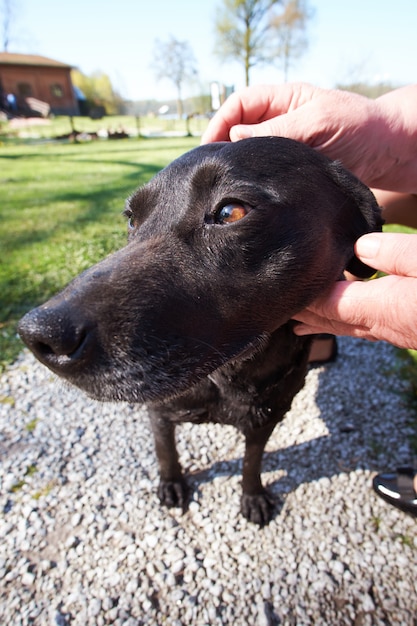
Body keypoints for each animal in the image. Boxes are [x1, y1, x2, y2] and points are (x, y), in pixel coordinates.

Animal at [19, 139, 384, 524]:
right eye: (132, 219)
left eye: (230, 213)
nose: (40, 335)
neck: (227, 375)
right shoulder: (160, 413)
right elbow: (166, 452)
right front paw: (172, 483)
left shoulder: (264, 421)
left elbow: (252, 463)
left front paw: (252, 495)